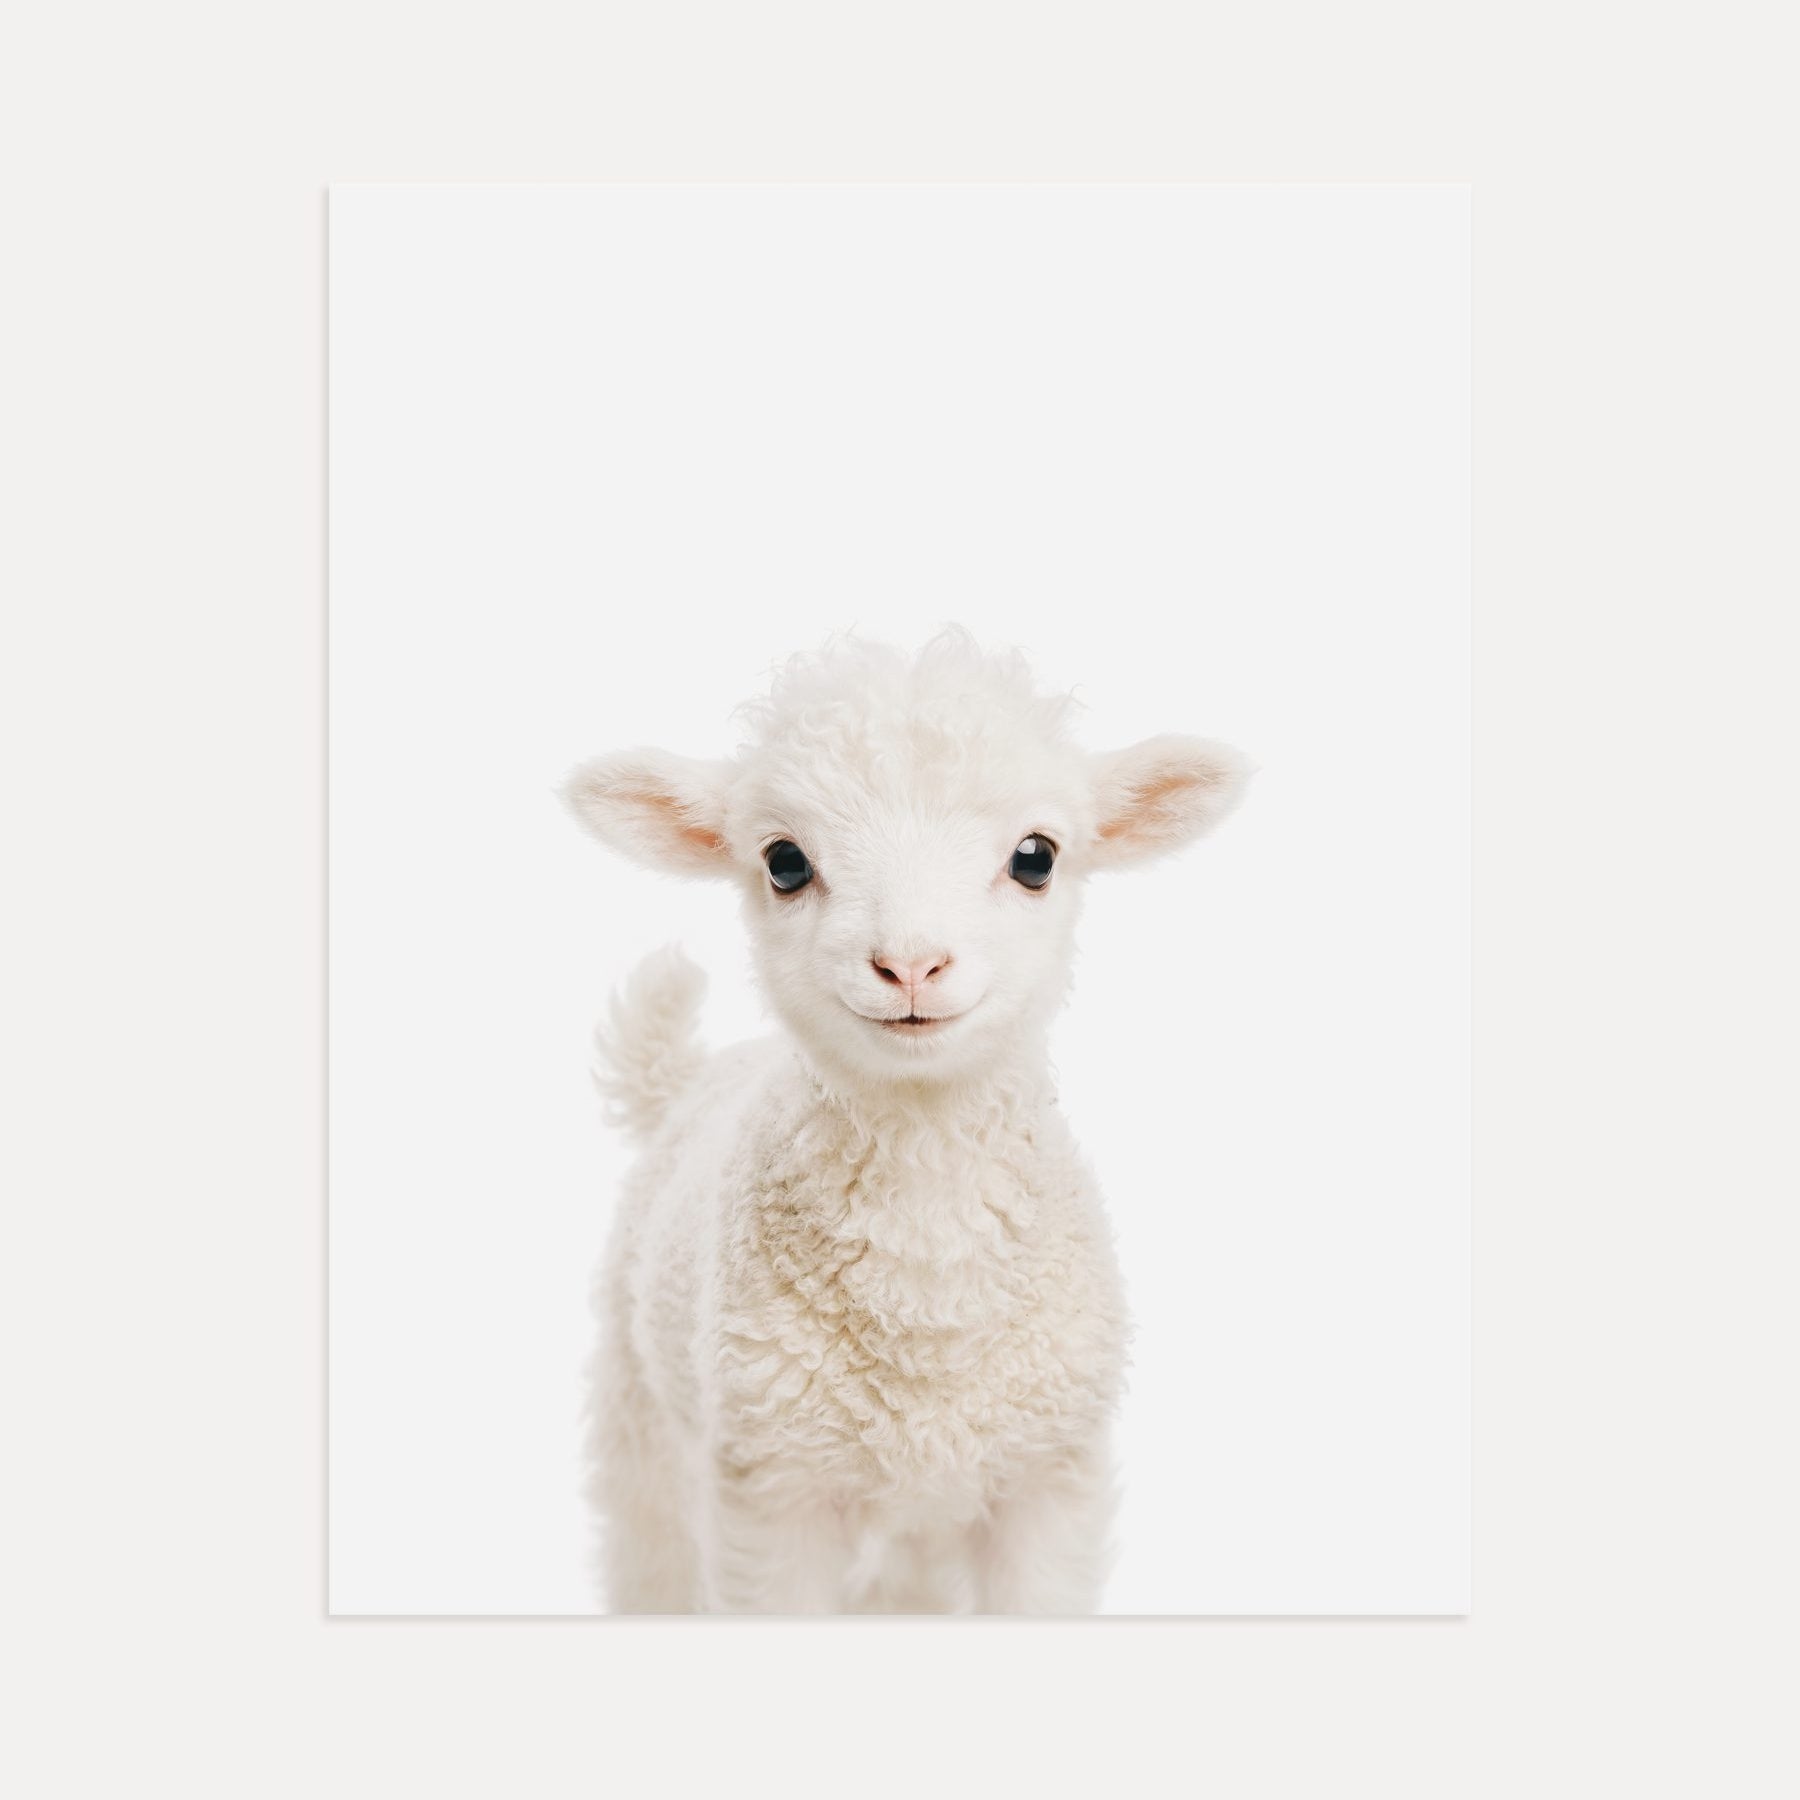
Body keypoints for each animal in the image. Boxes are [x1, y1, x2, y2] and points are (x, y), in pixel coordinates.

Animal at [561, 626, 1250, 1612]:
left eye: (1036, 856)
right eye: (784, 862)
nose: (912, 964)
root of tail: (691, 1076)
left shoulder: (1048, 1479)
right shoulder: (772, 1491)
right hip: (643, 1423)